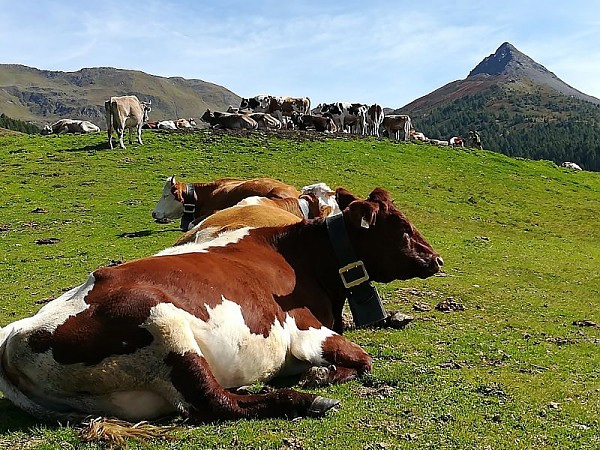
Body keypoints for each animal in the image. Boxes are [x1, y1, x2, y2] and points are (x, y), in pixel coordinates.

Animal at [0, 187, 440, 426]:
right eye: (402, 228)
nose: (436, 259)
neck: (301, 256)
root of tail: (15, 336)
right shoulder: (307, 331)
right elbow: (363, 360)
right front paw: (319, 377)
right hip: (161, 323)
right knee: (216, 401)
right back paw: (304, 401)